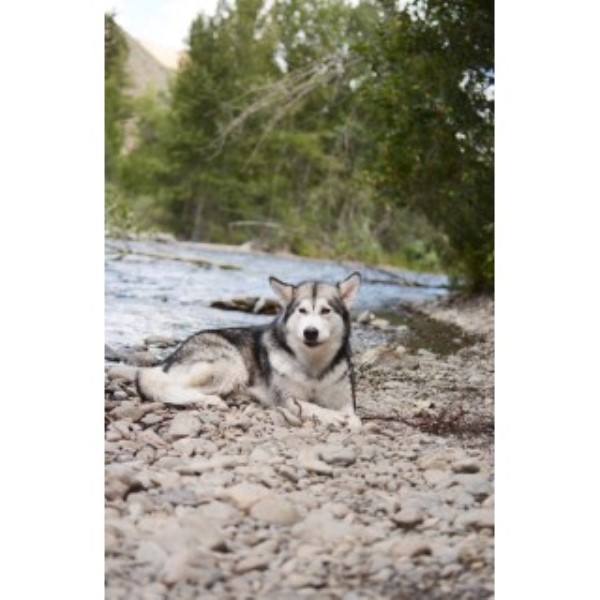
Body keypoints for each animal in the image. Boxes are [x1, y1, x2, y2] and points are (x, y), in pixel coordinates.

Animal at [136, 272, 360, 432]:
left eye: (326, 310)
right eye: (302, 310)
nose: (310, 332)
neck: (313, 366)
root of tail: (172, 356)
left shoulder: (344, 399)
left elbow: (355, 418)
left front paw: (349, 420)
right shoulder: (287, 399)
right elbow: (312, 406)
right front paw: (332, 416)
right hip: (230, 366)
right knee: (168, 386)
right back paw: (210, 400)